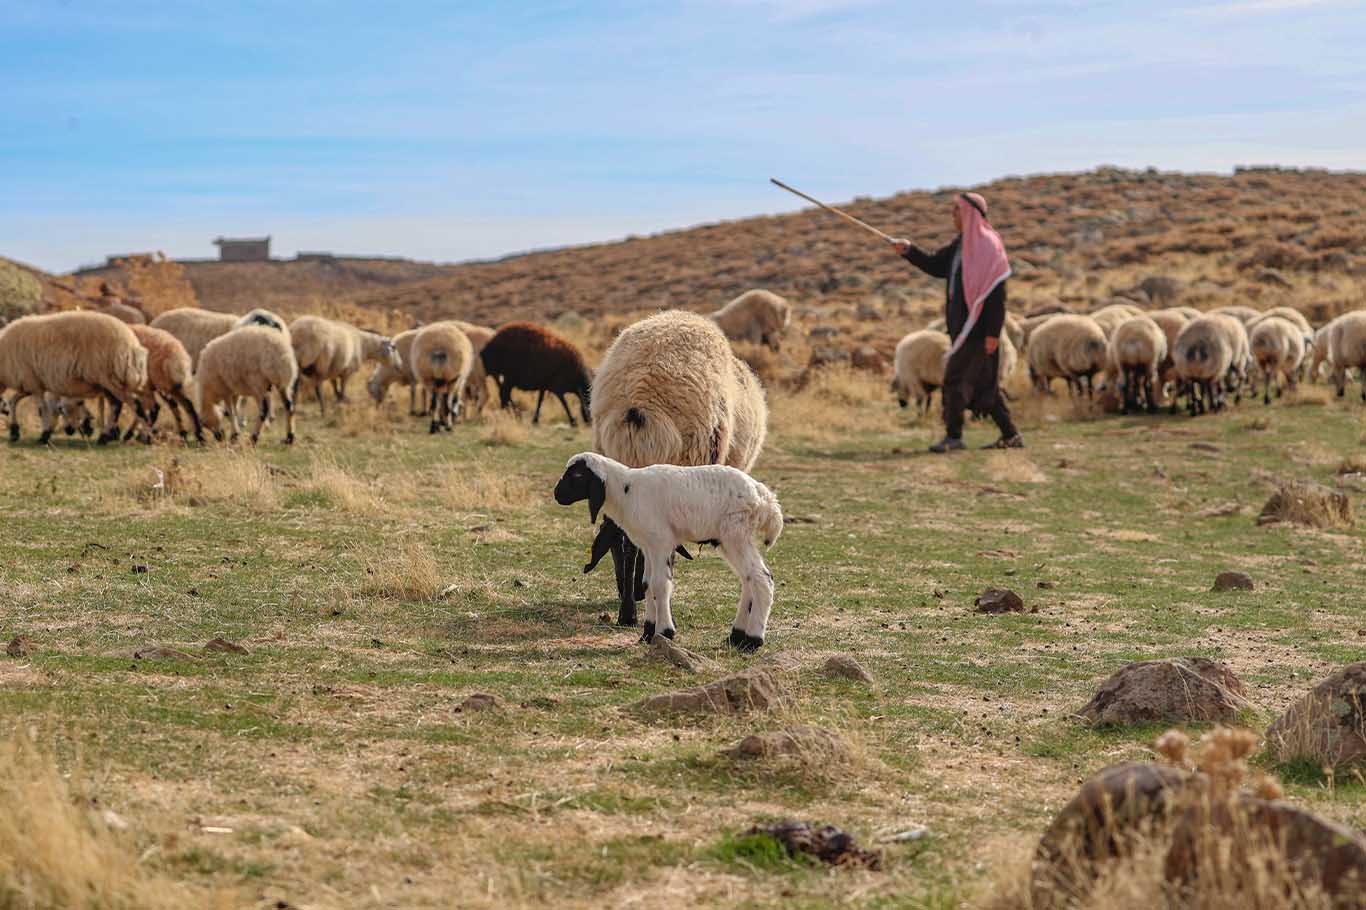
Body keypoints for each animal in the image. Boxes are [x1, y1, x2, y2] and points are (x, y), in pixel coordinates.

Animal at [0, 310, 148, 445]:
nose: (4, 412)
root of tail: (132, 343)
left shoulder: (32, 382)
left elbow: (41, 409)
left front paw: (44, 436)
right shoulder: (28, 385)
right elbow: (13, 401)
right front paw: (14, 432)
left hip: (112, 379)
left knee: (135, 404)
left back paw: (145, 436)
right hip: (108, 383)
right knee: (116, 406)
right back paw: (105, 437)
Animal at [551, 450, 786, 647]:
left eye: (577, 475)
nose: (557, 494)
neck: (626, 491)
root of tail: (765, 498)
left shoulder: (661, 542)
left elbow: (660, 585)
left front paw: (665, 632)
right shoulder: (648, 545)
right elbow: (646, 584)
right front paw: (647, 634)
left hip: (735, 534)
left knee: (761, 578)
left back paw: (753, 640)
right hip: (729, 539)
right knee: (748, 579)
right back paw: (736, 637)